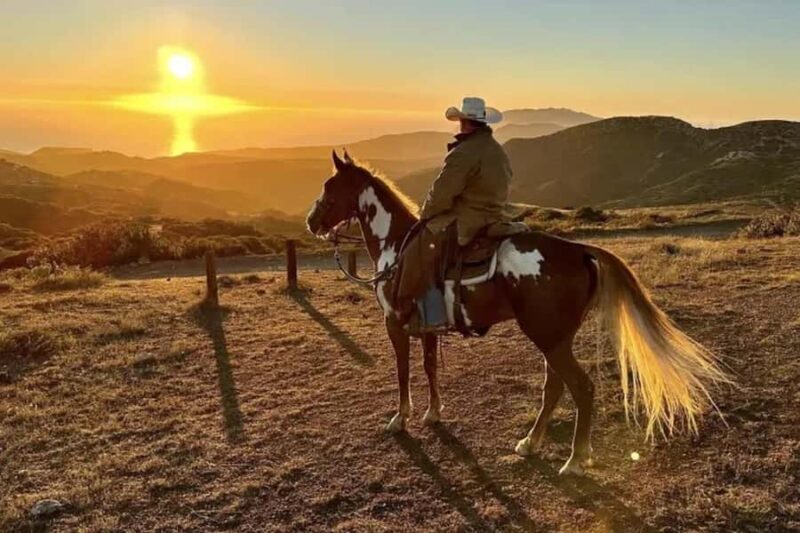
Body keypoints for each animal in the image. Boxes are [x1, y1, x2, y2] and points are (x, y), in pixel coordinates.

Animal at [306, 150, 729, 476]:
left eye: (328, 187)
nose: (311, 222)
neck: (396, 246)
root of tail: (580, 251)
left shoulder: (394, 323)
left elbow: (402, 371)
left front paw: (400, 418)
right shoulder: (426, 328)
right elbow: (429, 368)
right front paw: (433, 413)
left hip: (548, 337)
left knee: (581, 387)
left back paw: (575, 460)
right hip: (555, 338)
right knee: (554, 387)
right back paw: (530, 443)